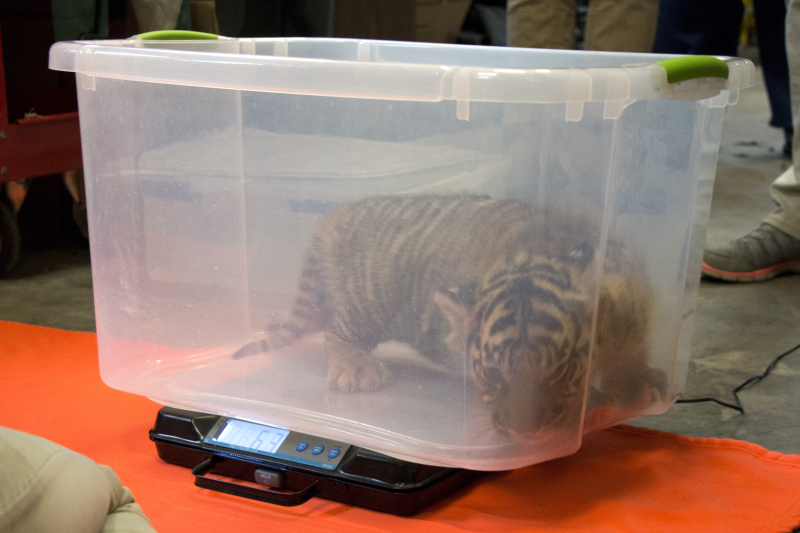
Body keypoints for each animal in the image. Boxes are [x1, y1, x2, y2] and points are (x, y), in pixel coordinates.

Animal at [233, 195, 668, 437]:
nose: (525, 433)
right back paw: (357, 370)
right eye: (492, 375)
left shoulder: (634, 313)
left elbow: (630, 359)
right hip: (366, 300)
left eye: (559, 372)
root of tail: (334, 217)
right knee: (335, 331)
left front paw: (643, 385)